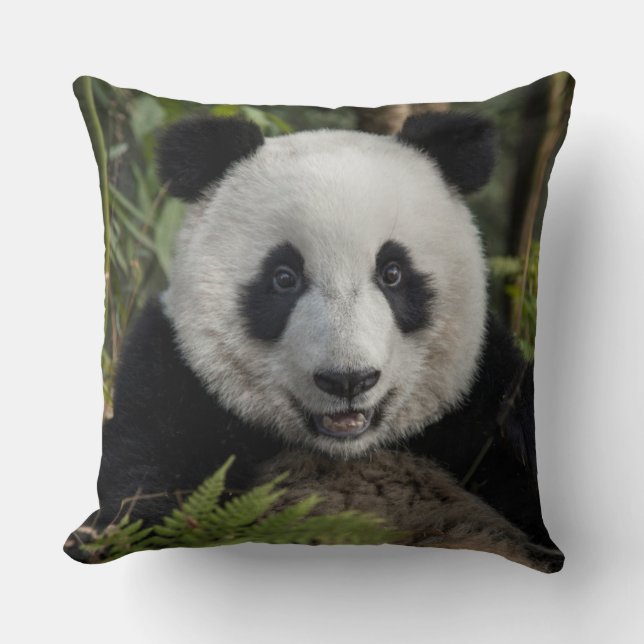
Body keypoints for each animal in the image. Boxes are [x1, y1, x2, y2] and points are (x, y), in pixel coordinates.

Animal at [91, 111, 561, 570]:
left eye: (393, 272)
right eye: (283, 277)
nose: (348, 380)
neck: (346, 452)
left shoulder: (483, 401)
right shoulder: (173, 390)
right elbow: (143, 492)